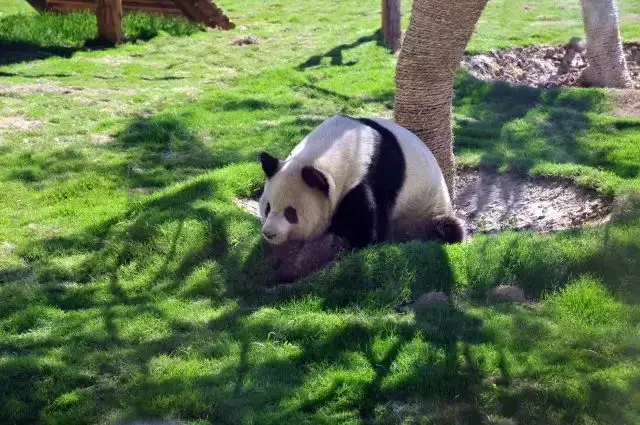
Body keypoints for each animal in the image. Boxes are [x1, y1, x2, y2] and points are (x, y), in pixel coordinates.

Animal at [258, 114, 462, 282]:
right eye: (267, 208)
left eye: (290, 213)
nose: (269, 233)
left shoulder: (370, 178)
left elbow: (362, 233)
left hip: (427, 210)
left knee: (447, 228)